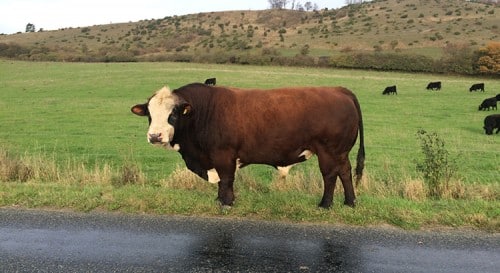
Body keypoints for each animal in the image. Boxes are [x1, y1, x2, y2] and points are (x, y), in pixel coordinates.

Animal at [131, 83, 366, 208]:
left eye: (173, 114)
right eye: (150, 113)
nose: (155, 136)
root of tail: (338, 89)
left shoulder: (223, 154)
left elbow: (226, 179)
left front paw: (226, 202)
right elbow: (222, 181)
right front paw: (219, 199)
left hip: (329, 151)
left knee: (330, 175)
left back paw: (325, 204)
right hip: (341, 152)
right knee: (345, 172)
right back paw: (350, 202)